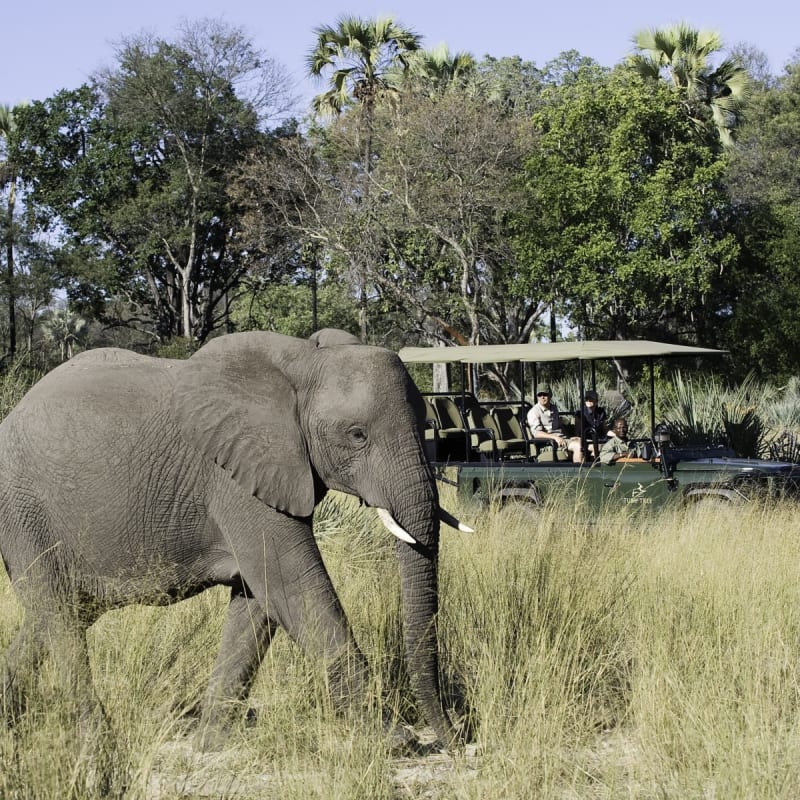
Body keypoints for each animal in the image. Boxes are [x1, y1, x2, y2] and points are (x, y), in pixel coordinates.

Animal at [0, 329, 472, 750]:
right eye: (357, 435)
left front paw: (212, 744)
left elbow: (258, 599)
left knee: (54, 616)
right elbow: (292, 585)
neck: (303, 361)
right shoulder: (233, 478)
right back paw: (98, 746)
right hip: (23, 511)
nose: (455, 739)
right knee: (56, 614)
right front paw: (394, 741)